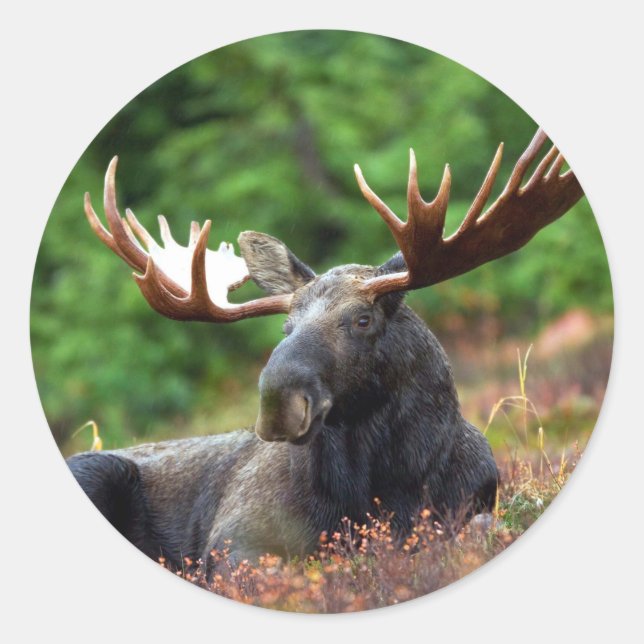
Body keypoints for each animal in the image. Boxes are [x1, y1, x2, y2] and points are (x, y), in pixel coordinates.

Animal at [67, 128, 583, 567]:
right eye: (286, 327)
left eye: (363, 319)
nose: (277, 403)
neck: (388, 488)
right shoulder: (234, 538)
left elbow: (480, 528)